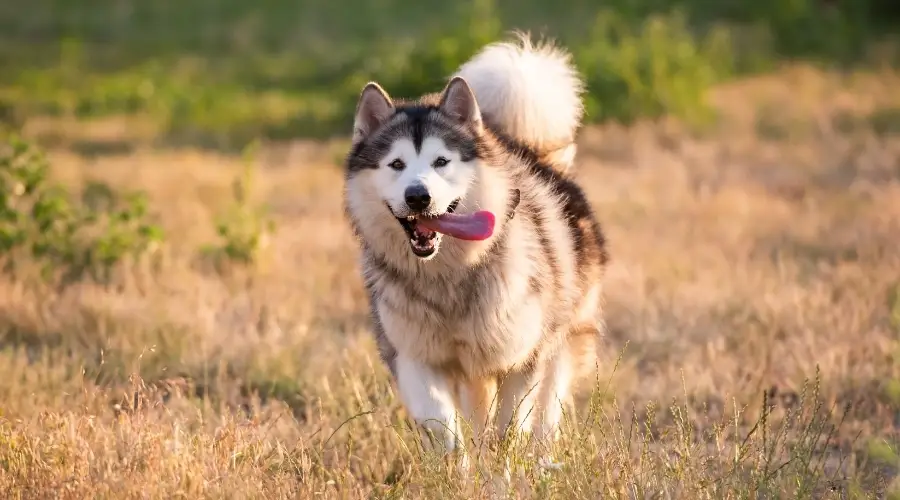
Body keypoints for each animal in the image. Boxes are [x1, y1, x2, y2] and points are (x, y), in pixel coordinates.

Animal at [342, 33, 608, 458]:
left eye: (441, 161)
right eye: (396, 164)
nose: (418, 197)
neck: (449, 273)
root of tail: (532, 151)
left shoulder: (523, 359)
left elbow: (510, 431)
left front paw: (503, 469)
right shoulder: (414, 355)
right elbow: (445, 431)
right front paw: (459, 468)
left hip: (561, 341)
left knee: (547, 414)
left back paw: (543, 460)